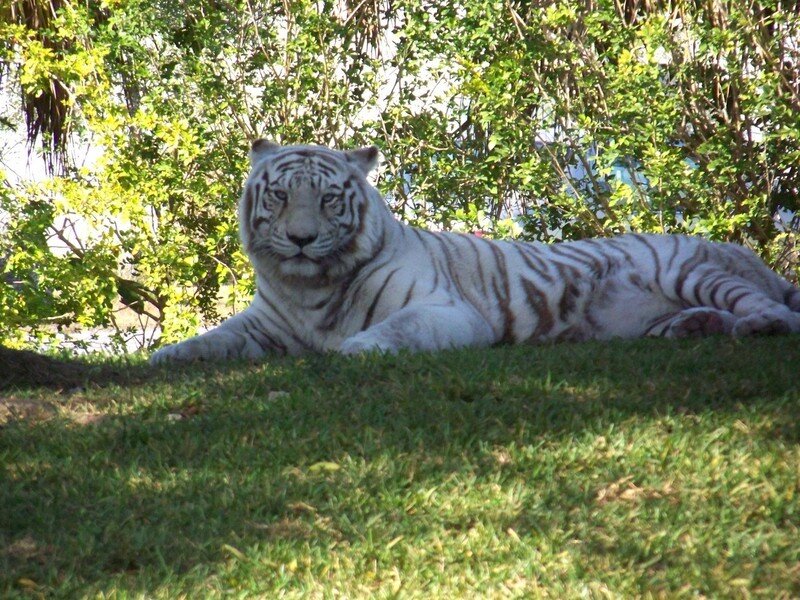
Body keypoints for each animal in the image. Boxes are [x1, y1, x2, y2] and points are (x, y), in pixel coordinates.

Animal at [149, 140, 800, 364]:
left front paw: (353, 349)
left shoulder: (447, 310)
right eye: (282, 195)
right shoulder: (263, 323)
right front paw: (166, 357)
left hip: (691, 268)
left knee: (776, 312)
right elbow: (212, 339)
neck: (309, 287)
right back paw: (693, 329)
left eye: (330, 199)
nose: (303, 239)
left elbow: (393, 330)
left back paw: (757, 324)